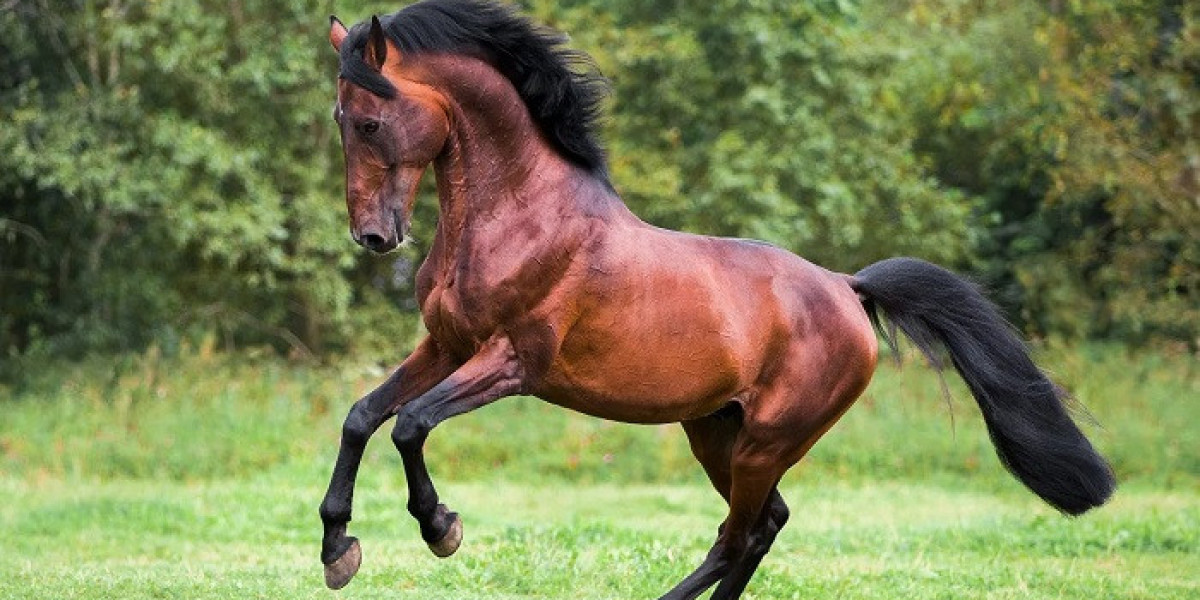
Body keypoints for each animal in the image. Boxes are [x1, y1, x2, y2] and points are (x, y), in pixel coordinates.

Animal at [318, 2, 1116, 598]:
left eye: (370, 121)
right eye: (338, 119)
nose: (374, 237)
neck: (521, 215)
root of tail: (848, 290)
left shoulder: (513, 362)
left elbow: (411, 424)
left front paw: (441, 529)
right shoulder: (445, 346)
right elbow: (362, 416)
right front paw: (338, 550)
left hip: (769, 439)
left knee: (742, 536)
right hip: (716, 429)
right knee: (762, 527)